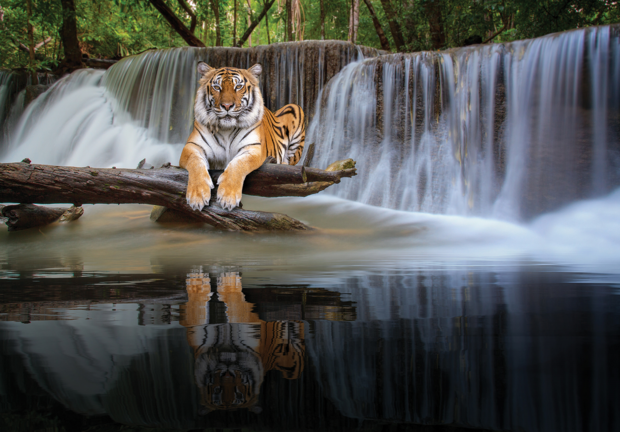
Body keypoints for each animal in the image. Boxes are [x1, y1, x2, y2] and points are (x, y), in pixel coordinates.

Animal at [179, 62, 306, 211]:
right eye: (217, 87)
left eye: (238, 86)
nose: (227, 105)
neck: (226, 129)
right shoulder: (192, 147)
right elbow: (196, 163)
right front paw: (197, 195)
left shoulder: (252, 148)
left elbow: (238, 164)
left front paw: (228, 196)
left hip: (295, 108)